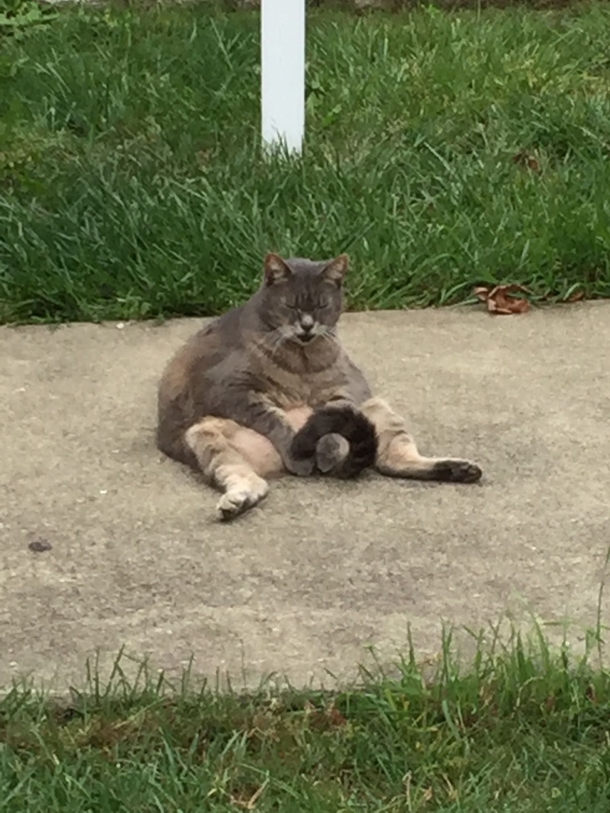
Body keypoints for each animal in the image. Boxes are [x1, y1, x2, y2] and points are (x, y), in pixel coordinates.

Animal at [157, 254, 480, 520]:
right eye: (290, 305)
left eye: (322, 305)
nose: (307, 325)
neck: (303, 362)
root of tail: (271, 465)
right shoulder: (230, 390)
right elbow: (276, 420)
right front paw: (301, 449)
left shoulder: (351, 388)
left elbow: (334, 416)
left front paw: (327, 451)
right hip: (203, 435)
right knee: (250, 480)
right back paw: (237, 503)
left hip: (375, 406)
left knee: (391, 459)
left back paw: (459, 469)